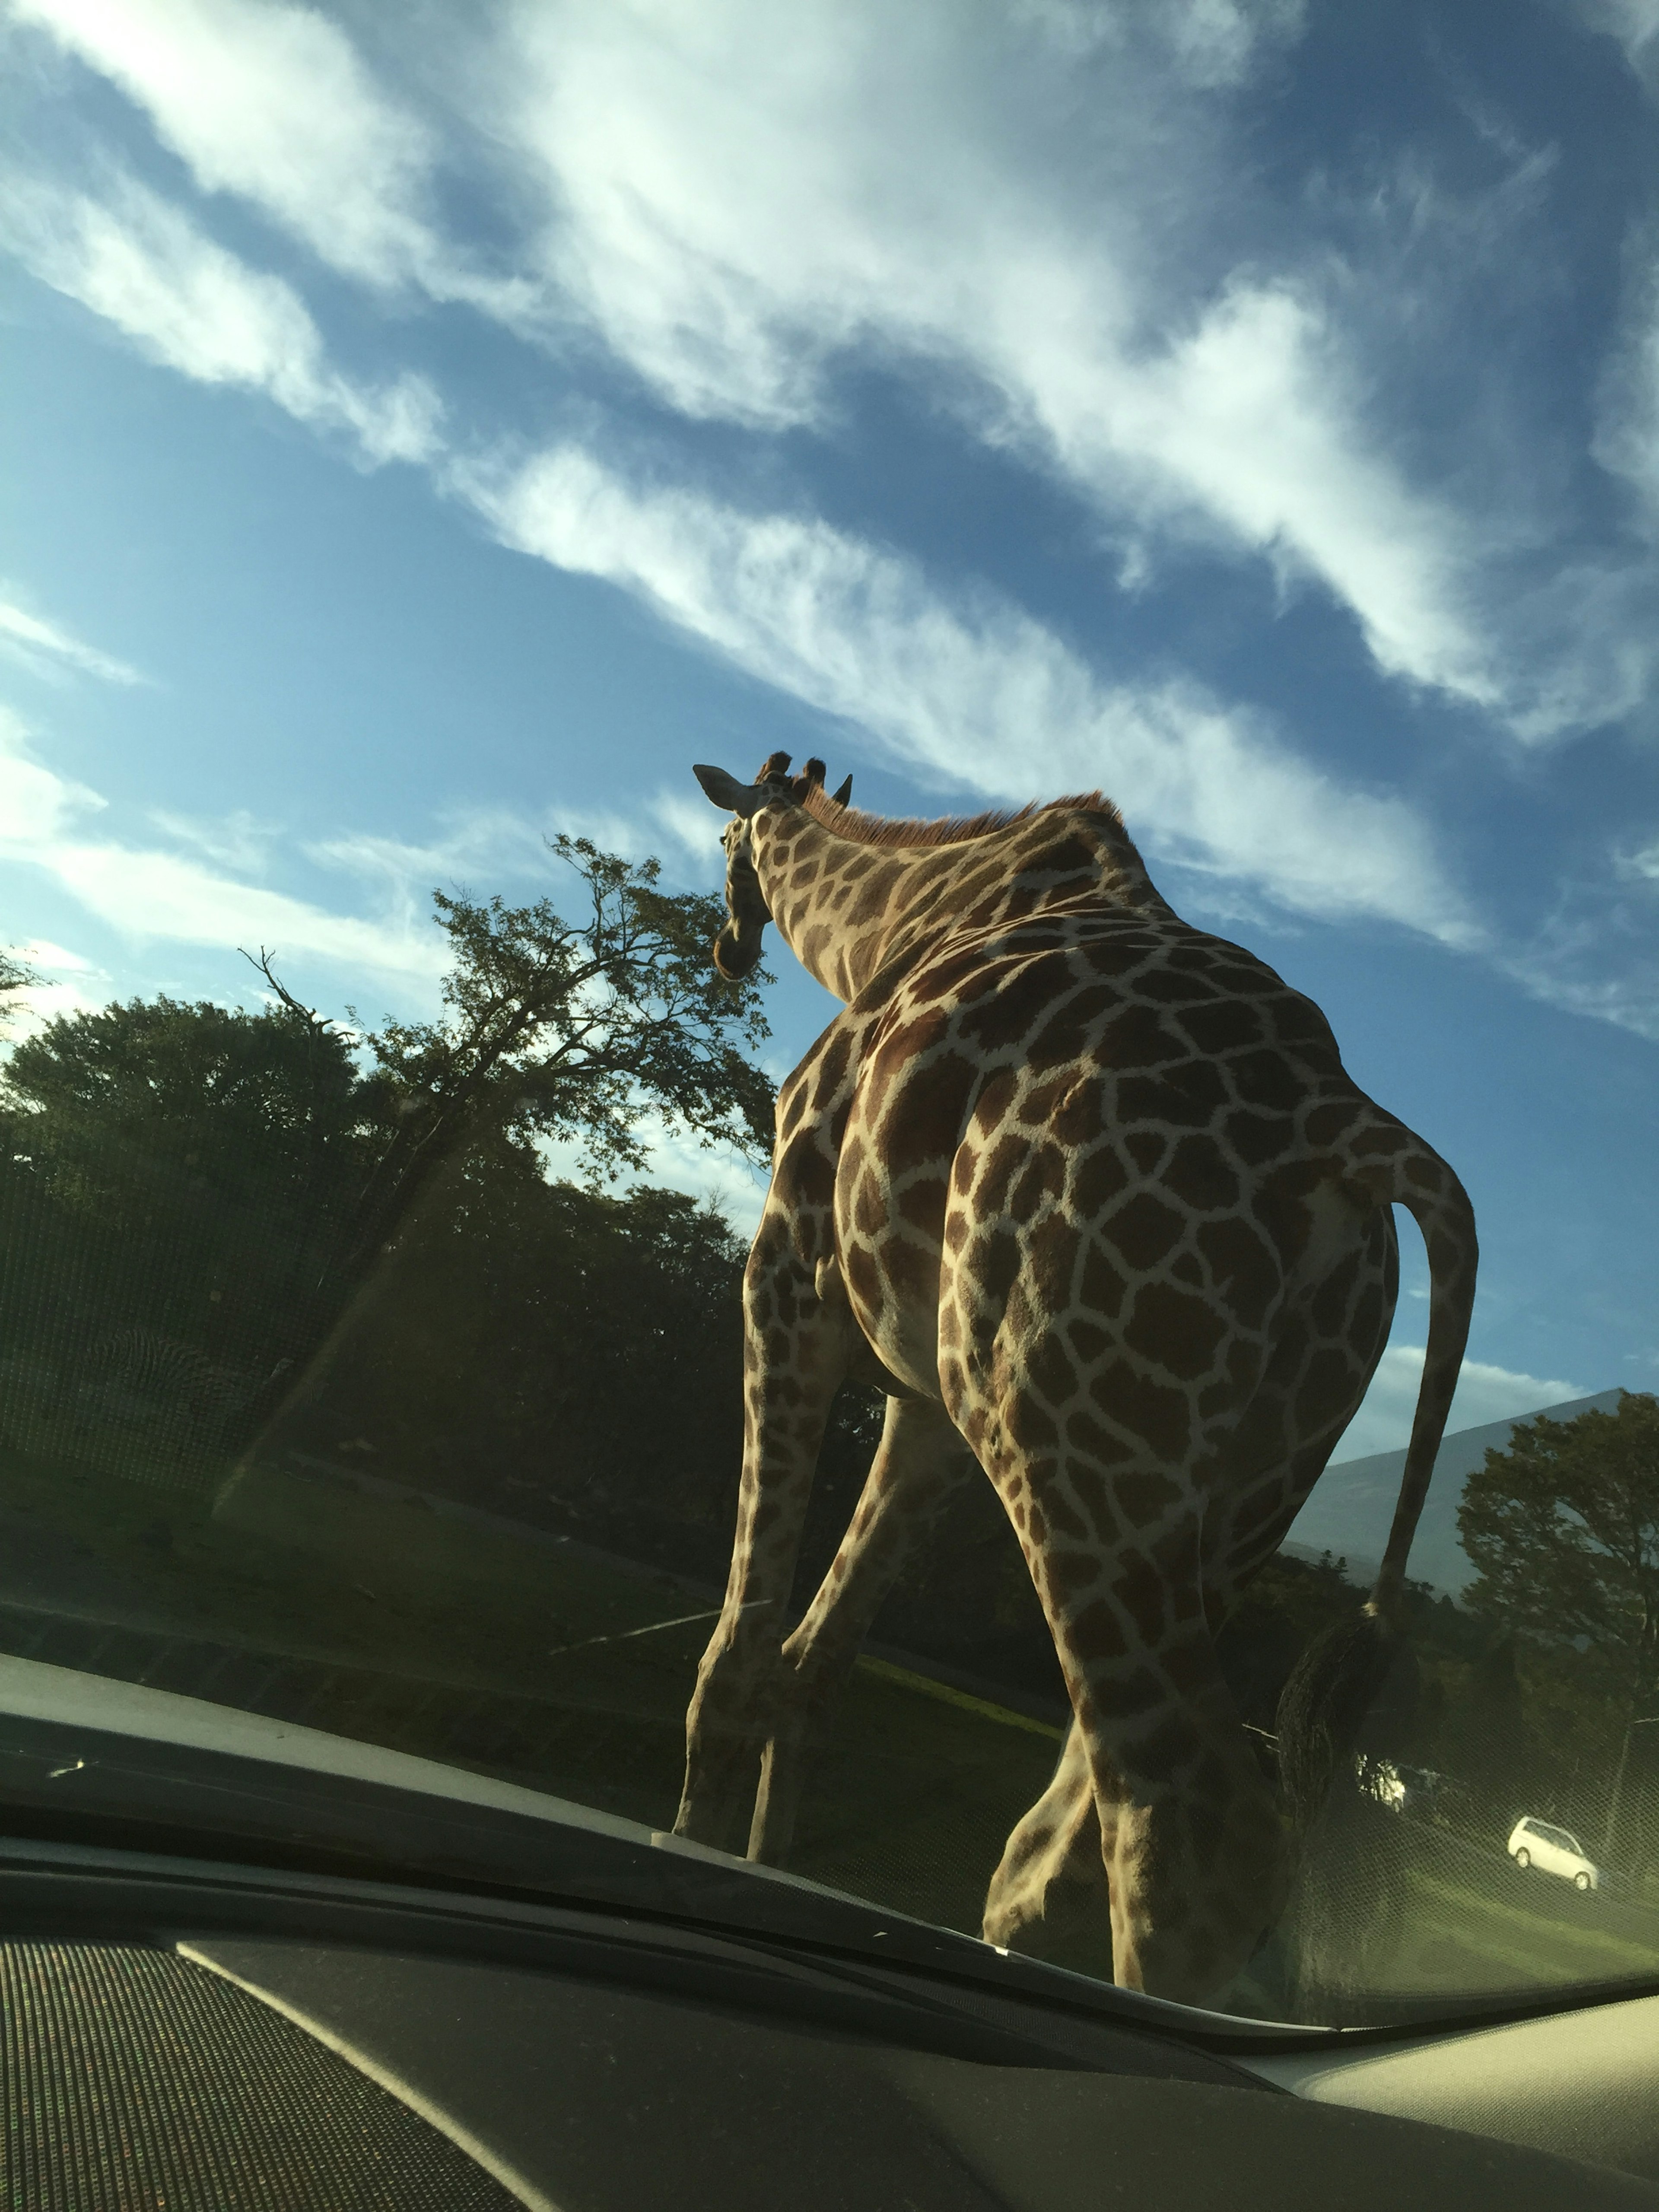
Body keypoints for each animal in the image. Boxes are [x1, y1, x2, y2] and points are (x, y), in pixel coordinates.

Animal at [677, 752, 1478, 2017]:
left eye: (727, 845)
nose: (726, 945)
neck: (885, 924)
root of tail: (1359, 1139)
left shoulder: (788, 1271)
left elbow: (739, 1665)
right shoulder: (926, 1403)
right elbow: (816, 1669)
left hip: (1070, 1429)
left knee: (1183, 1828)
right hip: (1241, 1485)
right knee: (1058, 1846)